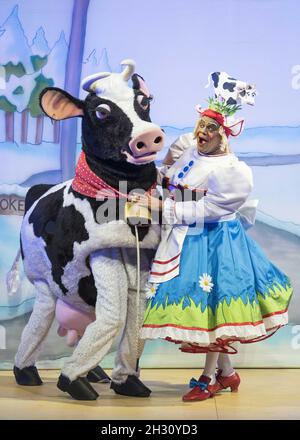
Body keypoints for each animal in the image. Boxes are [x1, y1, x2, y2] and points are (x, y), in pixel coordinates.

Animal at [13, 60, 164, 400]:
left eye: (144, 102)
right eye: (102, 112)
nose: (149, 136)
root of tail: (37, 191)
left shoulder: (139, 259)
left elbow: (135, 319)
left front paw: (128, 382)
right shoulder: (102, 254)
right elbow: (113, 318)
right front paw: (70, 381)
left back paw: (97, 373)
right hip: (42, 283)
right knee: (38, 324)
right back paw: (27, 372)